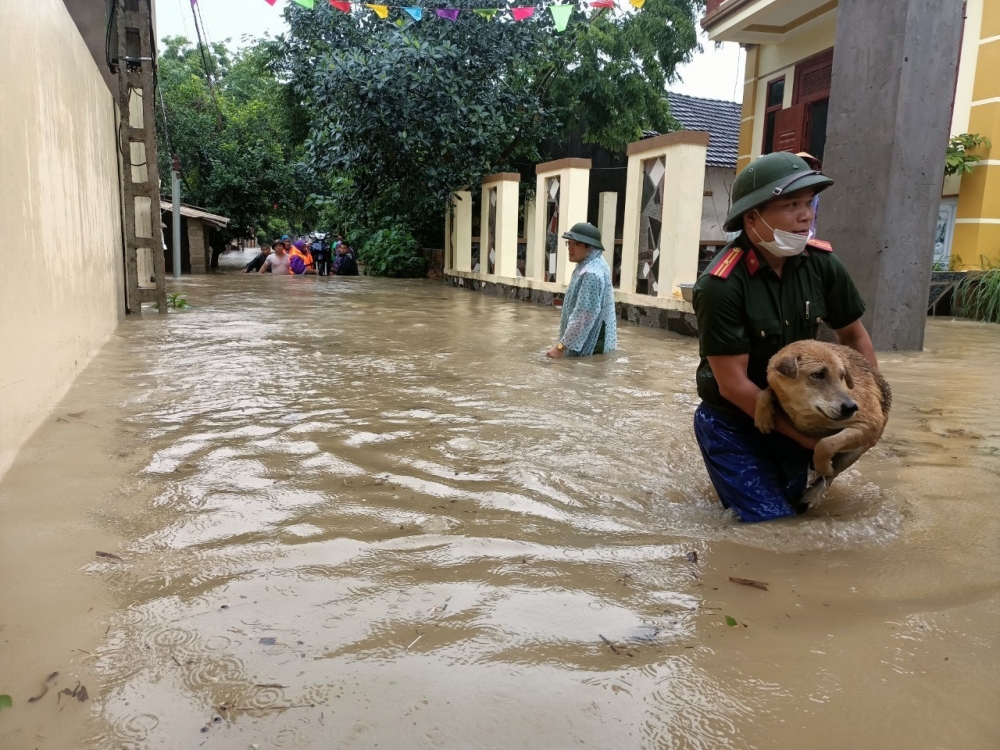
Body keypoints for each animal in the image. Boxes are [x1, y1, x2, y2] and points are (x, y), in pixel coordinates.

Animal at [752, 340, 888, 476]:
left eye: (842, 376)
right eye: (817, 374)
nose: (852, 407)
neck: (804, 413)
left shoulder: (870, 424)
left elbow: (825, 443)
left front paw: (824, 468)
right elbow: (764, 392)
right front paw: (763, 418)